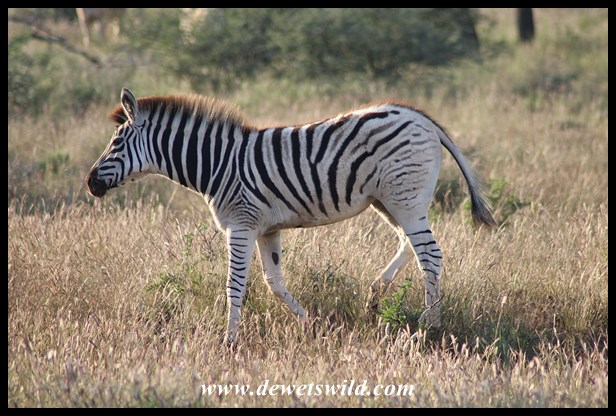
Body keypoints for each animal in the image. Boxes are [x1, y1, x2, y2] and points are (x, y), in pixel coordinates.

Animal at [86, 88, 495, 344]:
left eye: (116, 143)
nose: (89, 183)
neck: (218, 164)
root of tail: (420, 117)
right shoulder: (267, 229)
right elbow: (274, 283)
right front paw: (312, 325)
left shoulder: (241, 225)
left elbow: (235, 286)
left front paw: (228, 341)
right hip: (390, 201)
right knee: (409, 245)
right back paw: (376, 297)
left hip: (404, 199)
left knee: (430, 255)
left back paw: (431, 326)